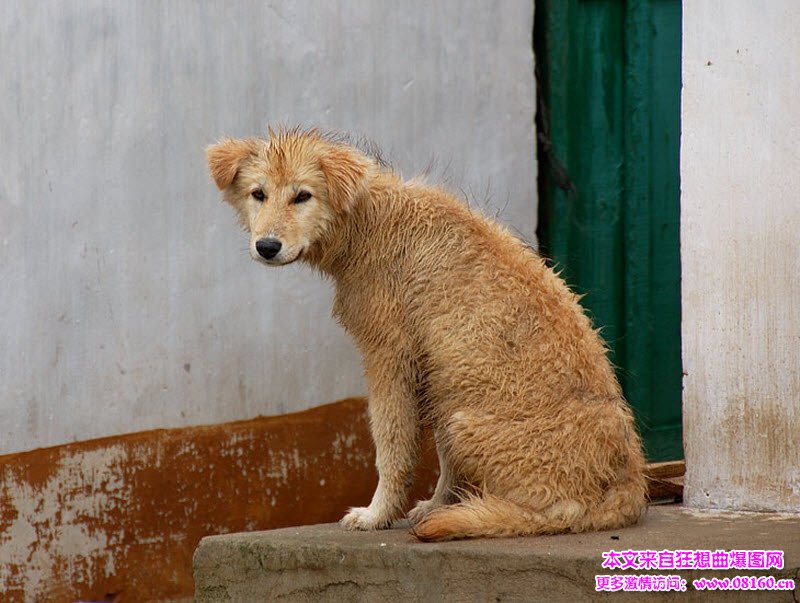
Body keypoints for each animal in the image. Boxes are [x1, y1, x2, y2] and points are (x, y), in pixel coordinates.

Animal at [206, 127, 648, 544]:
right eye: (258, 194)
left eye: (302, 196)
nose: (267, 246)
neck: (370, 220)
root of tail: (631, 482)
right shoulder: (435, 371)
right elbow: (441, 458)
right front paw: (435, 504)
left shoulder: (390, 356)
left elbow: (393, 446)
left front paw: (377, 515)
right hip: (456, 402)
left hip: (468, 423)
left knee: (557, 511)